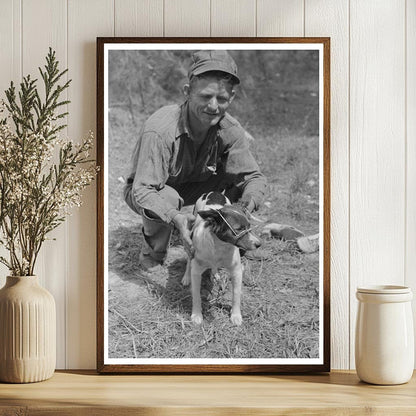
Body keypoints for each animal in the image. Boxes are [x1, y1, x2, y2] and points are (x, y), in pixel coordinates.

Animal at [181, 192, 260, 324]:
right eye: (238, 229)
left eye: (249, 226)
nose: (259, 244)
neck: (219, 246)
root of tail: (214, 192)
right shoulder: (196, 271)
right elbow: (196, 295)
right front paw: (196, 315)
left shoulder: (236, 271)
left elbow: (236, 294)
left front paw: (236, 315)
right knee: (188, 261)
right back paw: (186, 277)